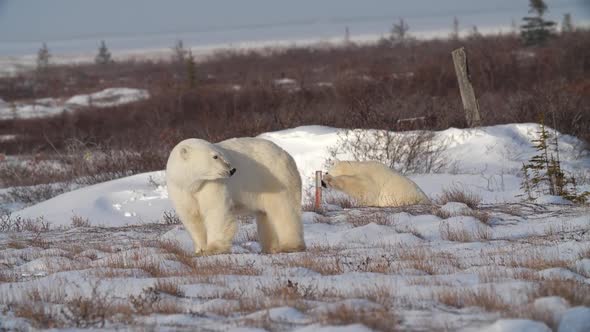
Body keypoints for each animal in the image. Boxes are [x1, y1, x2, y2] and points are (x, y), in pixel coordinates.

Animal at [165, 137, 306, 254]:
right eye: (215, 156)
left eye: (220, 154)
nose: (232, 170)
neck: (191, 183)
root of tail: (286, 154)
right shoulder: (180, 190)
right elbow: (192, 218)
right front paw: (200, 249)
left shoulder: (212, 184)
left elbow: (215, 211)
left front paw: (213, 248)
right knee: (266, 216)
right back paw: (270, 248)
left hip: (276, 178)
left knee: (284, 210)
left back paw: (290, 246)